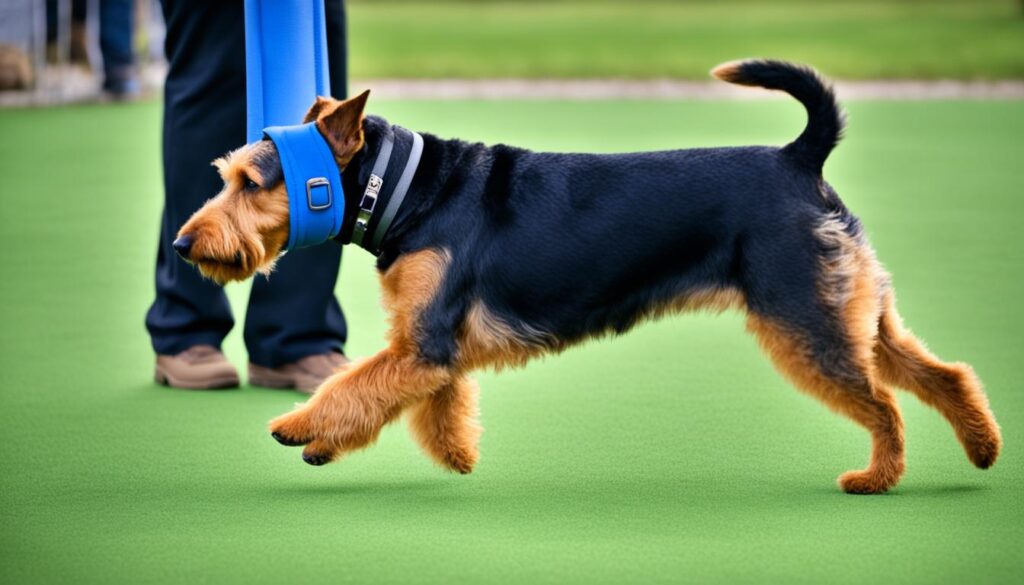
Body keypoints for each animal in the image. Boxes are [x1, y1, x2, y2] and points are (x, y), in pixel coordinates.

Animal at [174, 60, 999, 493]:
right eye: (229, 175)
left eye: (251, 182)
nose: (184, 244)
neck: (407, 188)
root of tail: (802, 158)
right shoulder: (429, 345)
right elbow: (422, 403)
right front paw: (454, 455)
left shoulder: (423, 341)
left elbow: (355, 385)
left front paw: (300, 428)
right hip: (857, 309)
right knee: (944, 373)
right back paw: (983, 447)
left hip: (807, 321)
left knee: (885, 403)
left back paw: (875, 477)